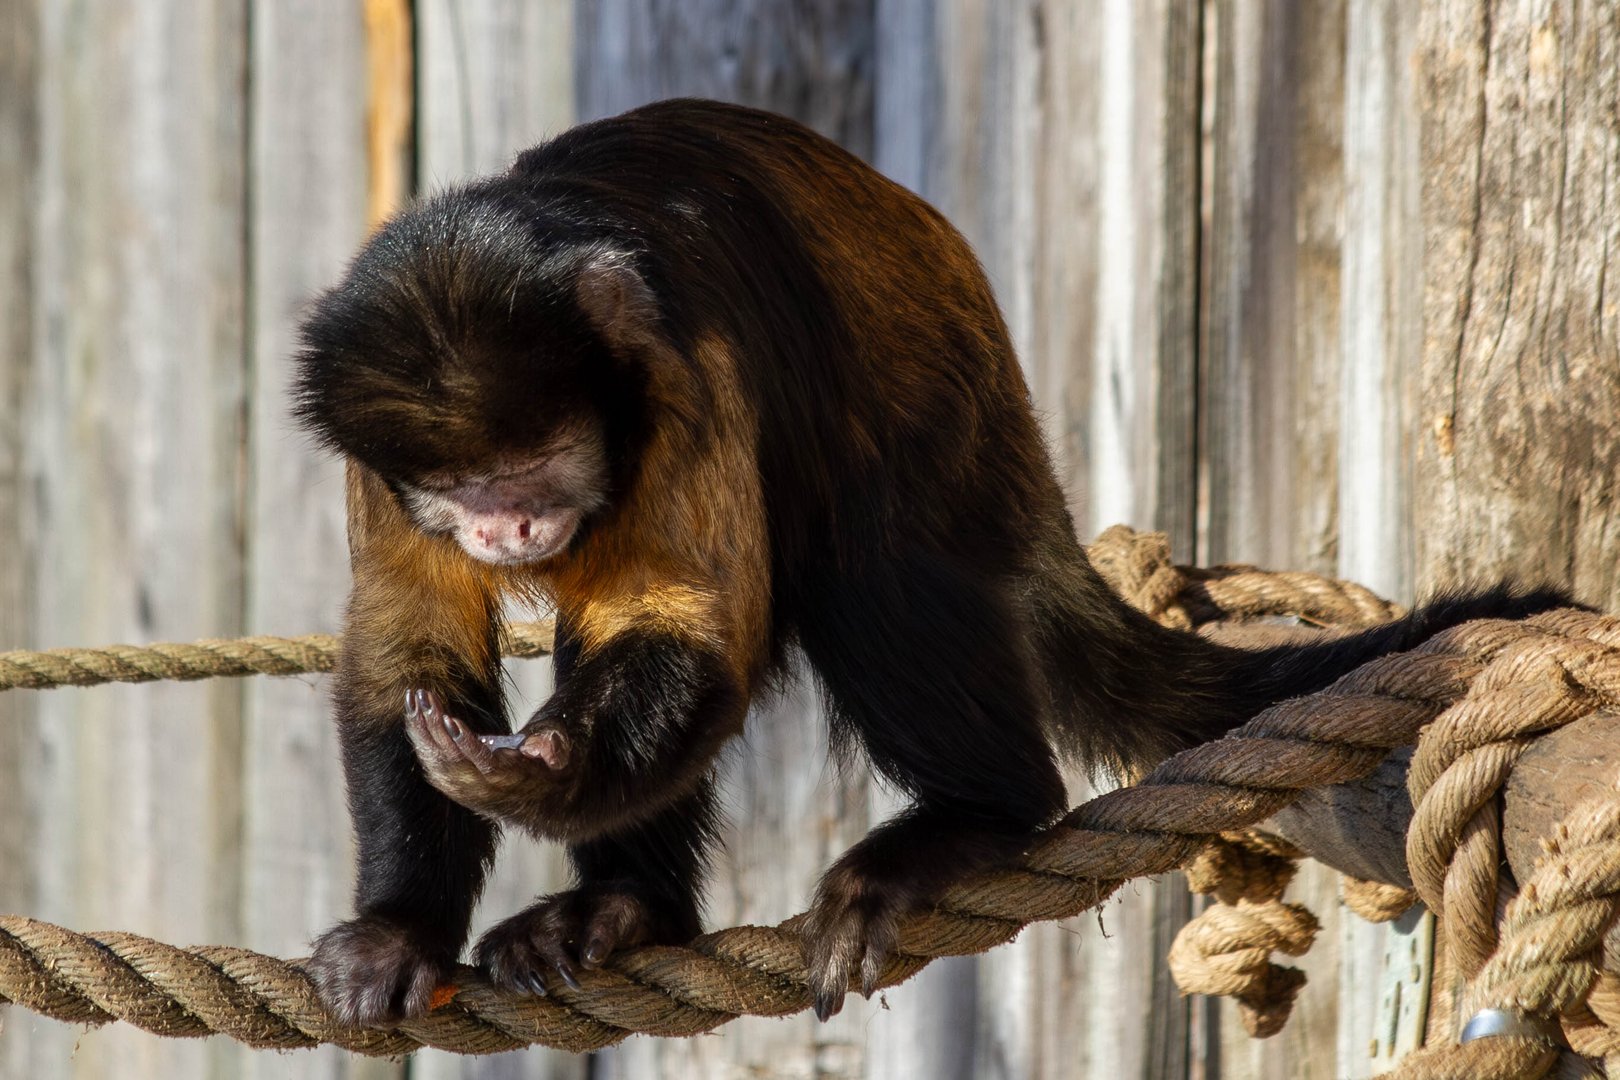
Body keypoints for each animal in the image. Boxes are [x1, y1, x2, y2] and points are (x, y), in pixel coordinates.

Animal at [294, 97, 1568, 1029]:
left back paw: (973, 817)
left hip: (953, 415)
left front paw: (543, 776)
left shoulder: (674, 354)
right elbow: (404, 661)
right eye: (464, 485)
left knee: (873, 569)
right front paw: (405, 925)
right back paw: (623, 912)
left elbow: (693, 625)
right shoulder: (374, 450)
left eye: (538, 458)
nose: (506, 528)